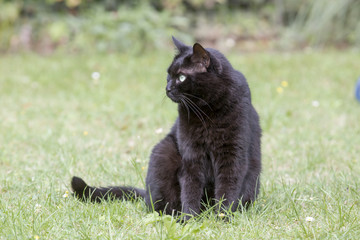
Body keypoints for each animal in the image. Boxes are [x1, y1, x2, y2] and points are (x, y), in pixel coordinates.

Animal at [71, 37, 262, 219]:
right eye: (168, 75)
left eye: (182, 77)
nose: (167, 88)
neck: (206, 111)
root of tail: (145, 194)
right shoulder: (191, 155)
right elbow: (191, 189)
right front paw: (189, 219)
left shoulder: (232, 154)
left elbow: (227, 189)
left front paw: (222, 217)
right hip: (163, 152)